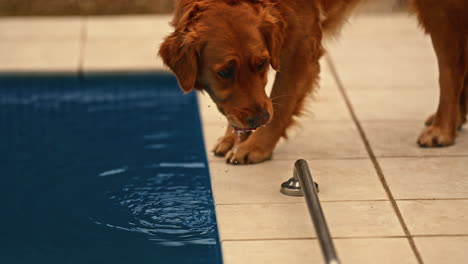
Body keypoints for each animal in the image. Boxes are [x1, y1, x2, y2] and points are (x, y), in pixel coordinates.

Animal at [158, 0, 468, 164]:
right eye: (224, 72)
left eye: (260, 63)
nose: (259, 118)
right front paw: (232, 137)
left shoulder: (300, 47)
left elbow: (280, 103)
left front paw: (255, 146)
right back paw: (454, 119)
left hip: (441, 10)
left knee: (451, 70)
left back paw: (442, 128)